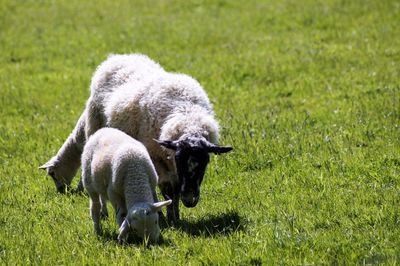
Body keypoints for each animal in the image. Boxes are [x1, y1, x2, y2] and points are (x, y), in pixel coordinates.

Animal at [39, 53, 233, 222]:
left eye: (205, 162)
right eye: (180, 160)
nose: (190, 200)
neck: (186, 113)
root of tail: (117, 57)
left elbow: (175, 189)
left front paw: (176, 216)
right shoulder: (159, 157)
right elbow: (168, 189)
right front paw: (169, 217)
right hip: (95, 125)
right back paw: (103, 211)